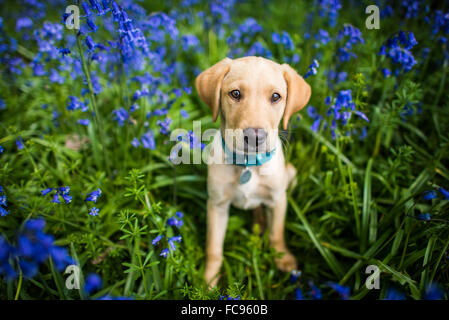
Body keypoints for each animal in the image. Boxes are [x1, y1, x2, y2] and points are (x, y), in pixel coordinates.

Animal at [194, 55, 310, 288]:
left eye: (276, 97)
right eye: (235, 94)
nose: (255, 137)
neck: (248, 165)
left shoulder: (278, 199)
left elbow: (277, 233)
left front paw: (283, 259)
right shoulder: (217, 205)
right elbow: (214, 247)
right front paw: (208, 281)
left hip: (290, 174)